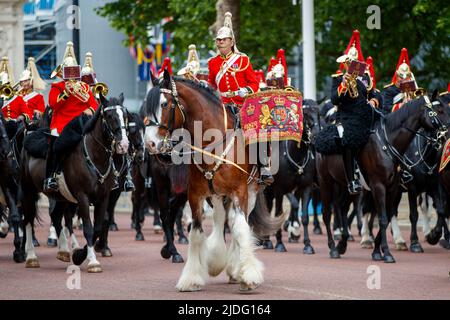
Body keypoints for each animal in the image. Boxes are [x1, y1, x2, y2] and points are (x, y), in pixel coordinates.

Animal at [20, 94, 129, 272]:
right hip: (28, 190)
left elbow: (97, 228)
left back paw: (64, 251)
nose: (124, 145)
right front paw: (92, 261)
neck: (94, 156)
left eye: (125, 115)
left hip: (61, 196)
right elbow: (88, 229)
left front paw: (79, 255)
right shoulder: (82, 197)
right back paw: (31, 257)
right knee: (28, 221)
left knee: (56, 217)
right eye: (109, 116)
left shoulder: (103, 197)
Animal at [144, 71, 284, 292]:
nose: (149, 144)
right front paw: (191, 279)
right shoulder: (195, 195)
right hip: (216, 195)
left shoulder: (240, 192)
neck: (212, 142)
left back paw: (236, 268)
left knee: (237, 223)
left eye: (164, 104)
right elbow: (196, 233)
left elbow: (241, 229)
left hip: (250, 192)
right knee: (221, 219)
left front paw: (248, 276)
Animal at [316, 95, 450, 262]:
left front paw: (377, 252)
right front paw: (388, 252)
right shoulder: (382, 186)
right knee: (328, 214)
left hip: (346, 185)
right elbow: (387, 218)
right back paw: (335, 247)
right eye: (439, 111)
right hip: (326, 182)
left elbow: (439, 210)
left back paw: (343, 243)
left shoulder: (396, 188)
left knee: (342, 207)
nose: (448, 134)